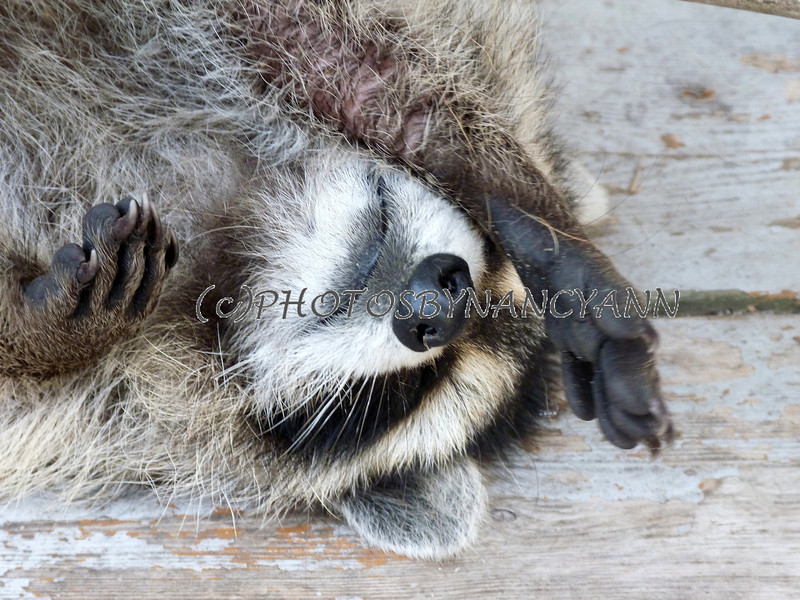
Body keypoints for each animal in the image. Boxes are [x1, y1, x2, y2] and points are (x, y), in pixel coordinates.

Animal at [0, 0, 673, 559]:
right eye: (492, 257)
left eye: (405, 394)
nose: (442, 305)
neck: (241, 236)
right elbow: (327, 40)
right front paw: (534, 221)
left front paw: (43, 340)